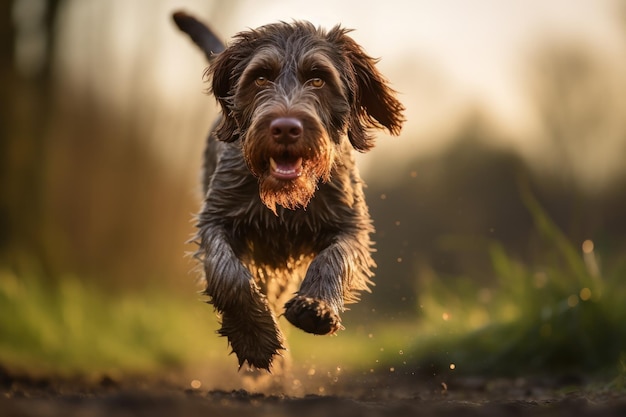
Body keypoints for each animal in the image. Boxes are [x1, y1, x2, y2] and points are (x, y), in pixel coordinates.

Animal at [173, 10, 402, 370]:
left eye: (319, 79)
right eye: (260, 78)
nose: (284, 128)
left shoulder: (350, 226)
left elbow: (334, 259)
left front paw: (315, 308)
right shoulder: (216, 219)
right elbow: (229, 275)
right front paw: (255, 338)